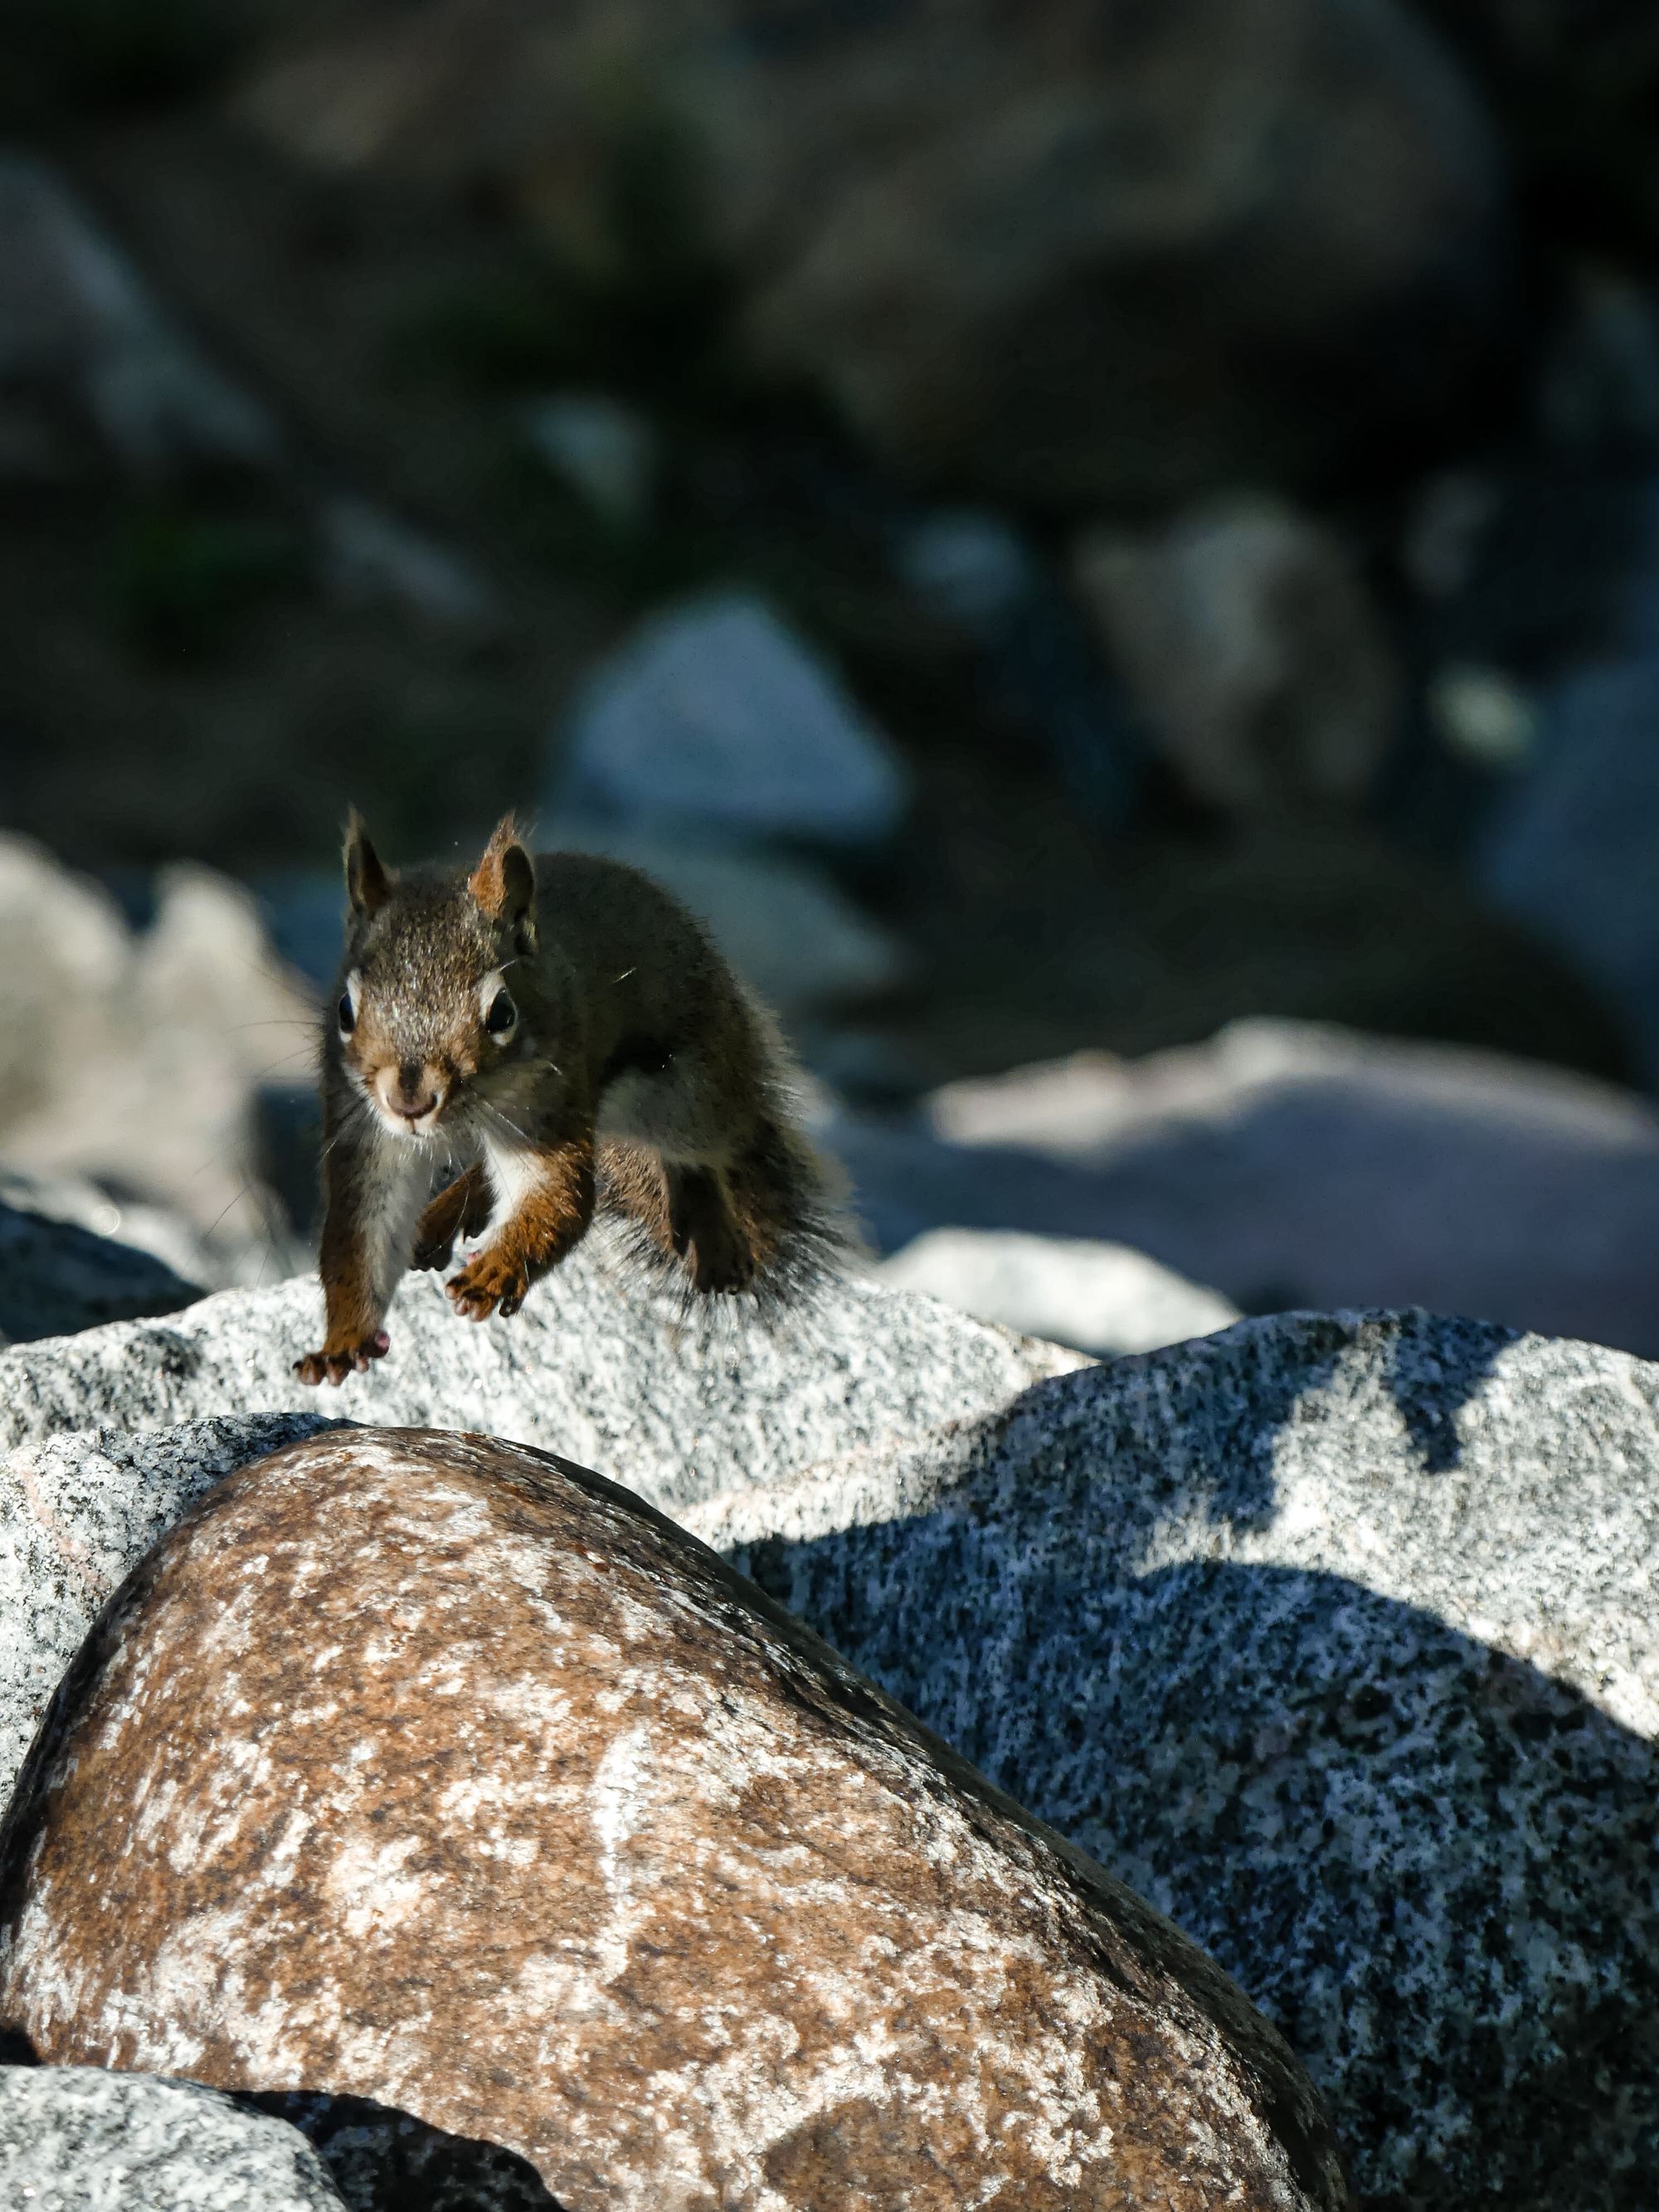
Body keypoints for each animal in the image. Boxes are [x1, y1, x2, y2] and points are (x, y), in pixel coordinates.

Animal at [292, 814, 844, 1380]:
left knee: (707, 1151)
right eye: (344, 1011)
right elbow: (363, 1235)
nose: (410, 1102)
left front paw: (496, 1272)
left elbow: (557, 1198)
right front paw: (342, 1340)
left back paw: (715, 1236)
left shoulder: (548, 1107)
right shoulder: (366, 1130)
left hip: (691, 1088)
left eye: (502, 1014)